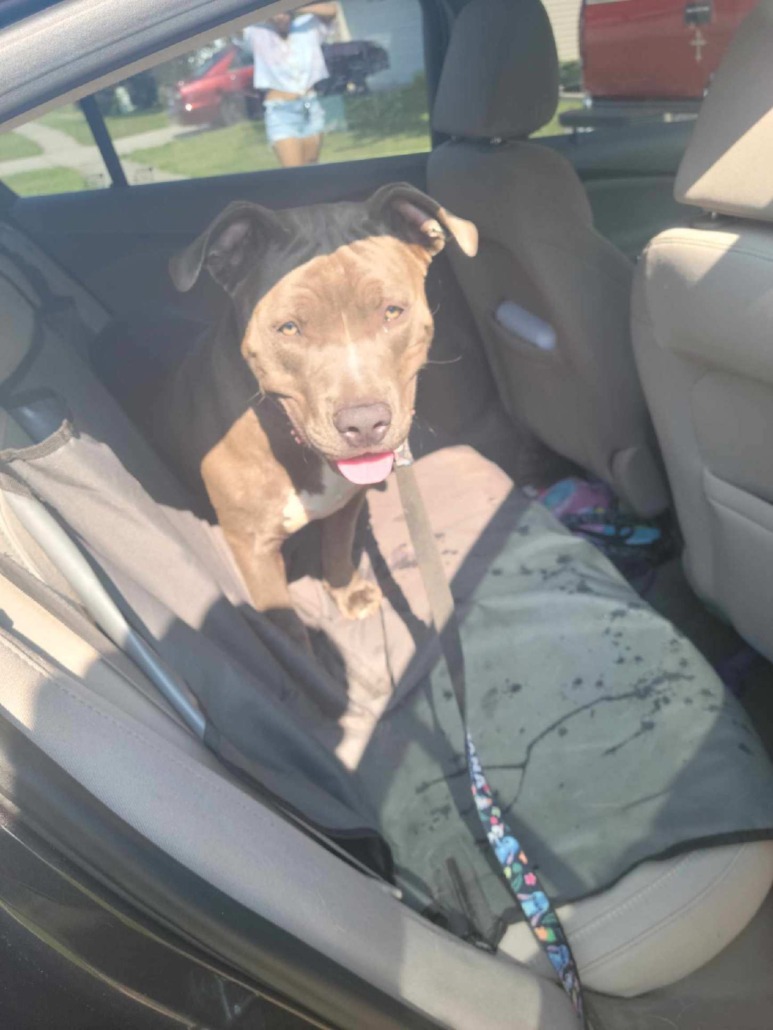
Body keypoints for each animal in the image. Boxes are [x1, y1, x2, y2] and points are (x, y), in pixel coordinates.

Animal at [157, 183, 477, 643]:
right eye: (289, 328)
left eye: (392, 312)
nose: (364, 423)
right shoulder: (252, 547)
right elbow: (288, 625)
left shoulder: (348, 502)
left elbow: (337, 550)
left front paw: (347, 594)